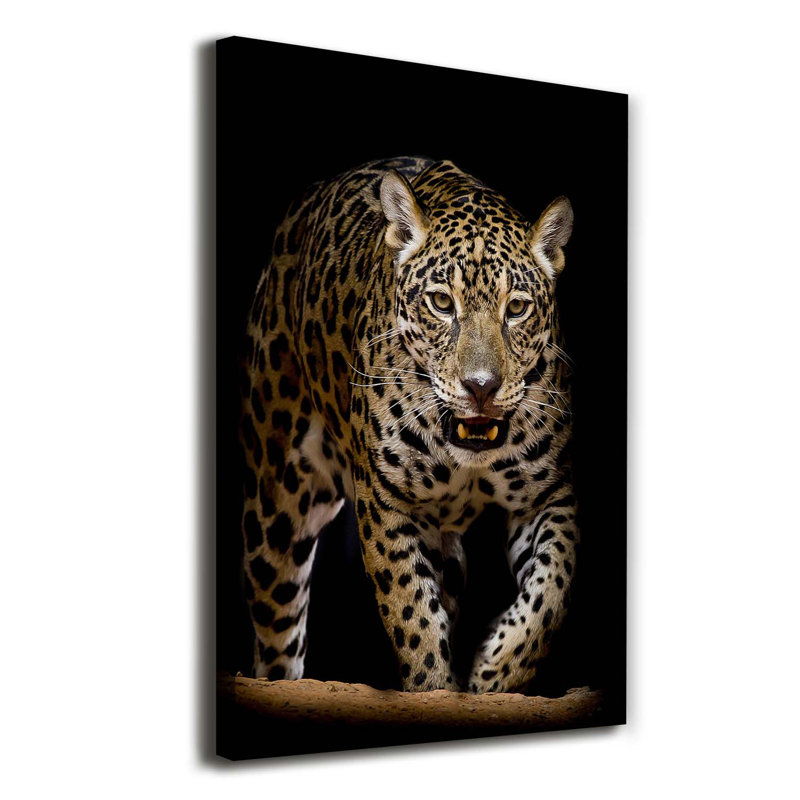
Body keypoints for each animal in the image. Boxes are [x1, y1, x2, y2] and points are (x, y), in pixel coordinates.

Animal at [238, 156, 578, 693]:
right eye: (441, 303)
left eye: (517, 308)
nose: (481, 386)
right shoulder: (386, 503)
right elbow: (411, 613)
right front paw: (435, 685)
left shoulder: (548, 494)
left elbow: (552, 590)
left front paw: (494, 670)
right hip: (276, 508)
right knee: (277, 632)